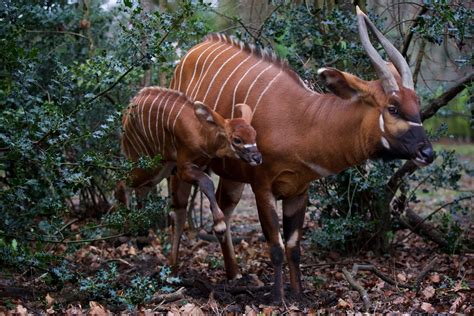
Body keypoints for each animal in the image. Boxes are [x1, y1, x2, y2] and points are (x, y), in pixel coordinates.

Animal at [116, 87, 262, 262]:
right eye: (237, 139)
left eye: (254, 135)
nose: (257, 158)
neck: (202, 134)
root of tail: (127, 111)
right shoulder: (183, 168)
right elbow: (207, 183)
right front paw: (219, 226)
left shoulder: (195, 166)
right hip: (145, 160)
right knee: (123, 184)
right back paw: (125, 235)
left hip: (160, 167)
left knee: (141, 188)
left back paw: (140, 236)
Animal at [169, 7, 434, 302]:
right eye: (393, 108)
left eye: (417, 105)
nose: (427, 152)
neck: (304, 121)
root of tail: (189, 54)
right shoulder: (262, 187)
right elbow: (275, 246)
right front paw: (277, 298)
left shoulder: (298, 190)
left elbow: (294, 247)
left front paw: (299, 296)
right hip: (181, 163)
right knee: (178, 208)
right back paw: (173, 271)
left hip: (232, 176)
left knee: (223, 211)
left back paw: (234, 274)